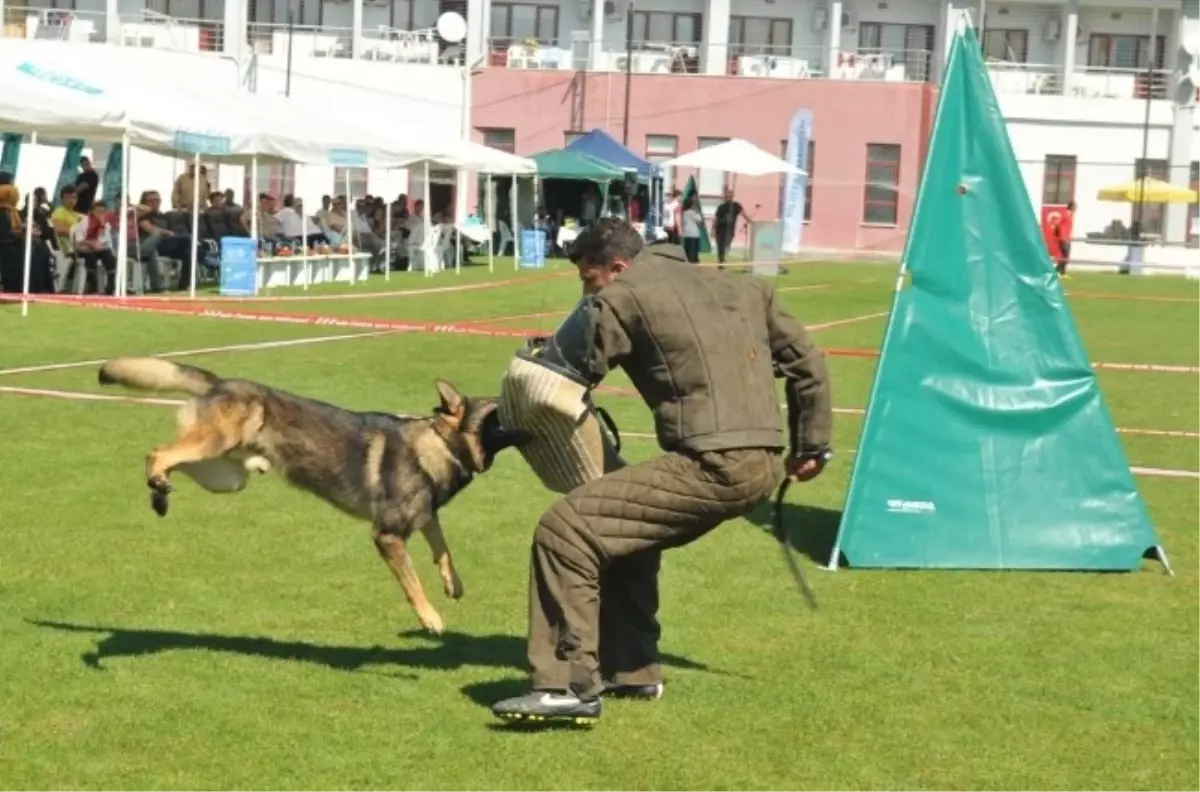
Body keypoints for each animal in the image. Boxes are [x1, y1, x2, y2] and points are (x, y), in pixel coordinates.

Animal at [93, 360, 525, 638]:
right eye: (498, 412)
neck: (439, 444)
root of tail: (220, 382)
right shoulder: (388, 535)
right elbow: (412, 582)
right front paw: (430, 618)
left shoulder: (425, 516)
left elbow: (443, 549)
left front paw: (453, 583)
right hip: (214, 447)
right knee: (157, 452)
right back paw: (157, 483)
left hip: (224, 475)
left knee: (170, 460)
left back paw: (160, 494)